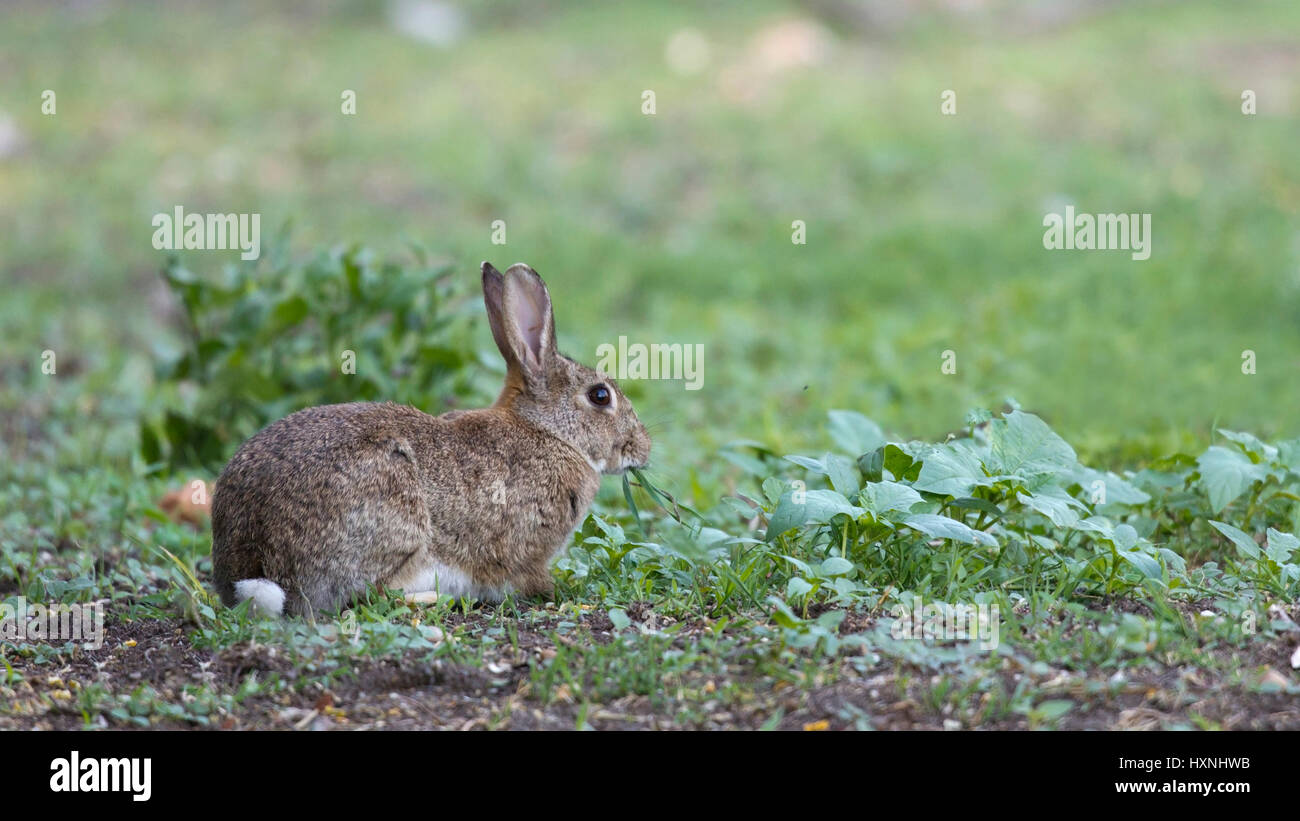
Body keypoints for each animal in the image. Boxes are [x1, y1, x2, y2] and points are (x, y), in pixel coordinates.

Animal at [210, 262, 650, 615]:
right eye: (600, 396)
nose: (643, 448)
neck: (548, 431)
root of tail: (252, 566)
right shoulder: (525, 550)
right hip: (395, 521)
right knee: (369, 595)